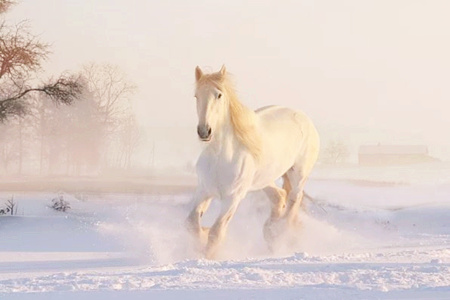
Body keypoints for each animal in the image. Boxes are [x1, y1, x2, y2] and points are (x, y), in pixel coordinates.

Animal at [186, 65, 320, 258]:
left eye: (219, 95)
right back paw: (270, 232)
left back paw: (280, 233)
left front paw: (207, 256)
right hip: (264, 180)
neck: (221, 157)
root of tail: (303, 117)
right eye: (196, 96)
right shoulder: (204, 191)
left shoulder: (233, 198)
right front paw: (200, 240)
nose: (204, 131)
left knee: (294, 199)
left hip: (298, 174)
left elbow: (216, 232)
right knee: (280, 196)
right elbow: (191, 223)